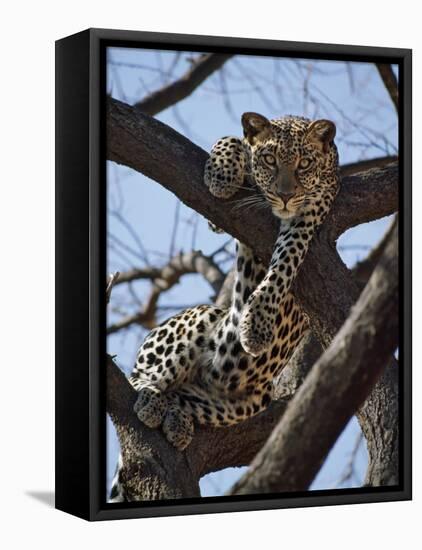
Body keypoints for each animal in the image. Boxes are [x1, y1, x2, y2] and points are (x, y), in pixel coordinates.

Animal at [109, 112, 340, 504]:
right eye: (270, 160)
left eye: (304, 164)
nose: (285, 195)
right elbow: (231, 139)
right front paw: (221, 174)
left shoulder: (310, 211)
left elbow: (285, 262)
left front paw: (257, 324)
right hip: (201, 318)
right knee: (140, 376)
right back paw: (151, 399)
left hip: (246, 401)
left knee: (183, 396)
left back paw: (175, 418)